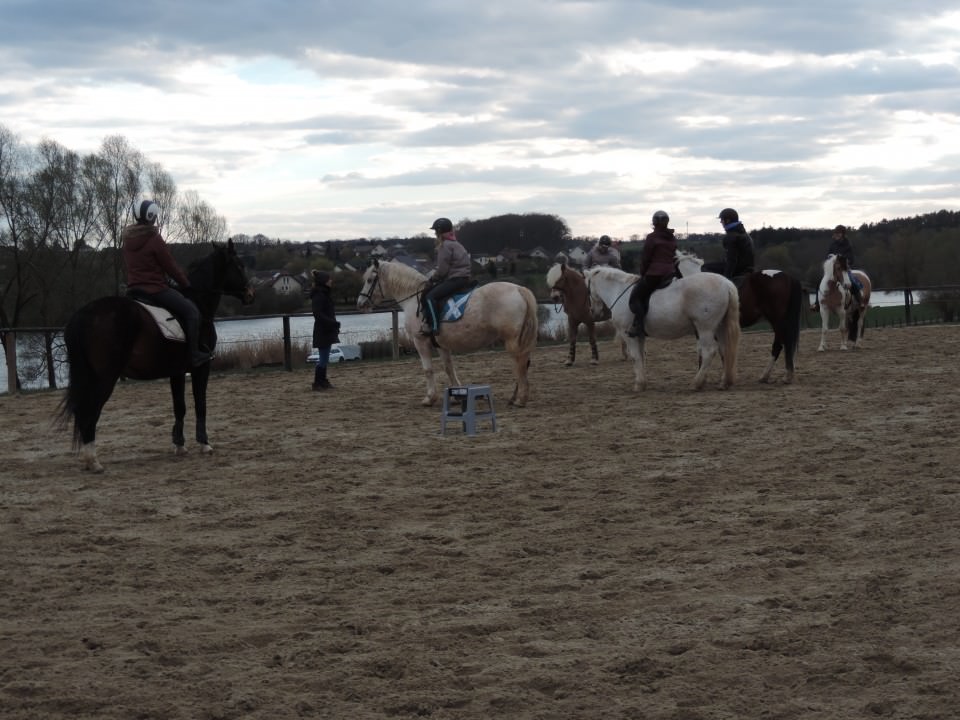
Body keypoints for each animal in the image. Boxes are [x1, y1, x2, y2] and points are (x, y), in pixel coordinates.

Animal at [54, 239, 253, 472]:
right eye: (239, 265)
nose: (250, 294)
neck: (198, 300)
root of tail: (82, 315)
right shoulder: (201, 368)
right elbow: (200, 404)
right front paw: (204, 444)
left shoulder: (177, 372)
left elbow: (179, 407)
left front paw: (179, 445)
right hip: (103, 378)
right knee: (89, 412)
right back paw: (93, 461)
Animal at [358, 258, 540, 404]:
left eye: (369, 280)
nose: (360, 303)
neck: (412, 298)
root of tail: (518, 289)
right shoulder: (441, 344)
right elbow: (448, 368)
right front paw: (457, 395)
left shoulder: (420, 341)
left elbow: (428, 370)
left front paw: (430, 398)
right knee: (523, 363)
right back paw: (516, 396)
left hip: (512, 340)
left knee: (519, 363)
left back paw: (520, 398)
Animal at [580, 264, 740, 390]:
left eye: (587, 291)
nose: (593, 312)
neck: (619, 291)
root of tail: (726, 283)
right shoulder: (639, 335)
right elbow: (641, 356)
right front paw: (643, 382)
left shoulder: (628, 335)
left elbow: (635, 356)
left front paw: (639, 384)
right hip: (719, 327)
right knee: (724, 350)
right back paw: (724, 382)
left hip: (705, 328)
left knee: (709, 352)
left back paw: (697, 383)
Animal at [676, 252, 804, 386]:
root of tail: (789, 277)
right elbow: (722, 350)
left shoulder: (702, 327)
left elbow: (704, 350)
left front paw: (705, 378)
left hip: (777, 321)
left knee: (779, 345)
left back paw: (769, 376)